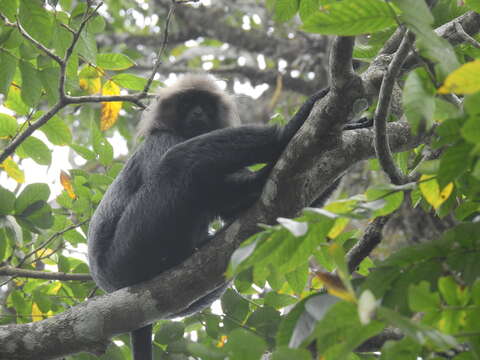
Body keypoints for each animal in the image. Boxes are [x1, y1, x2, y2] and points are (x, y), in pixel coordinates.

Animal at [87, 74, 372, 360]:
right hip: (129, 247)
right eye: (188, 103)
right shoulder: (162, 139)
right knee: (178, 160)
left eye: (205, 105)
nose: (198, 113)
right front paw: (296, 123)